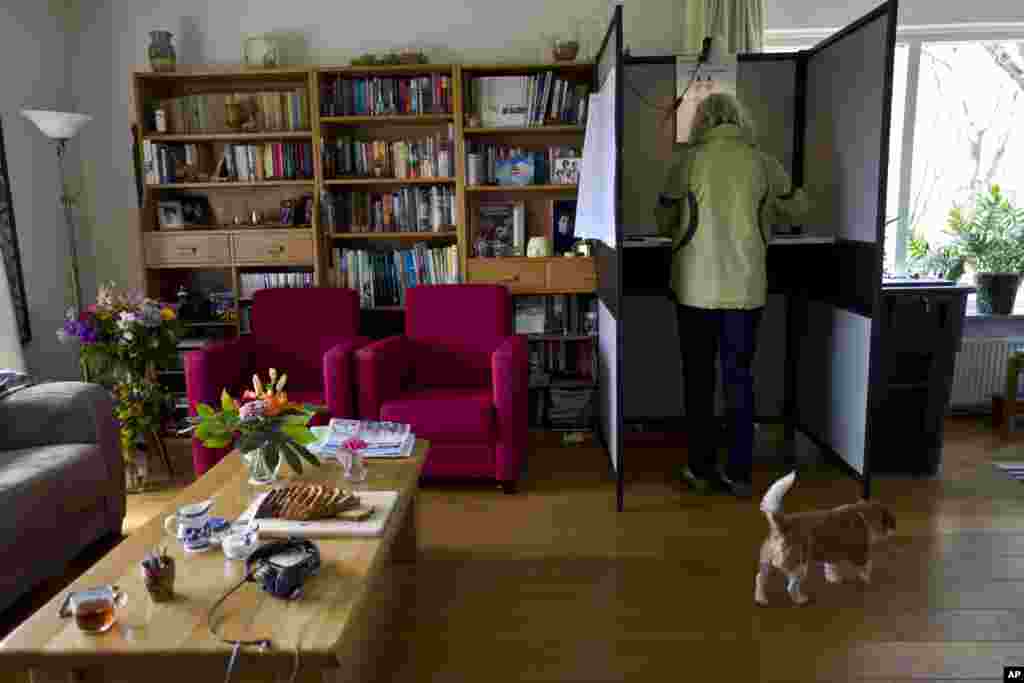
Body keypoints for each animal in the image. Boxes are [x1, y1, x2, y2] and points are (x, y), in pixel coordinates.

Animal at [757, 473, 892, 606]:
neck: (862, 514)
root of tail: (783, 524)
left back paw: (761, 599)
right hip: (799, 566)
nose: (894, 530)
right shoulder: (860, 553)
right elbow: (866, 566)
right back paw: (800, 599)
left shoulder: (832, 553)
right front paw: (867, 579)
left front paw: (833, 578)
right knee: (791, 587)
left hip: (766, 562)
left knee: (760, 578)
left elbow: (831, 567)